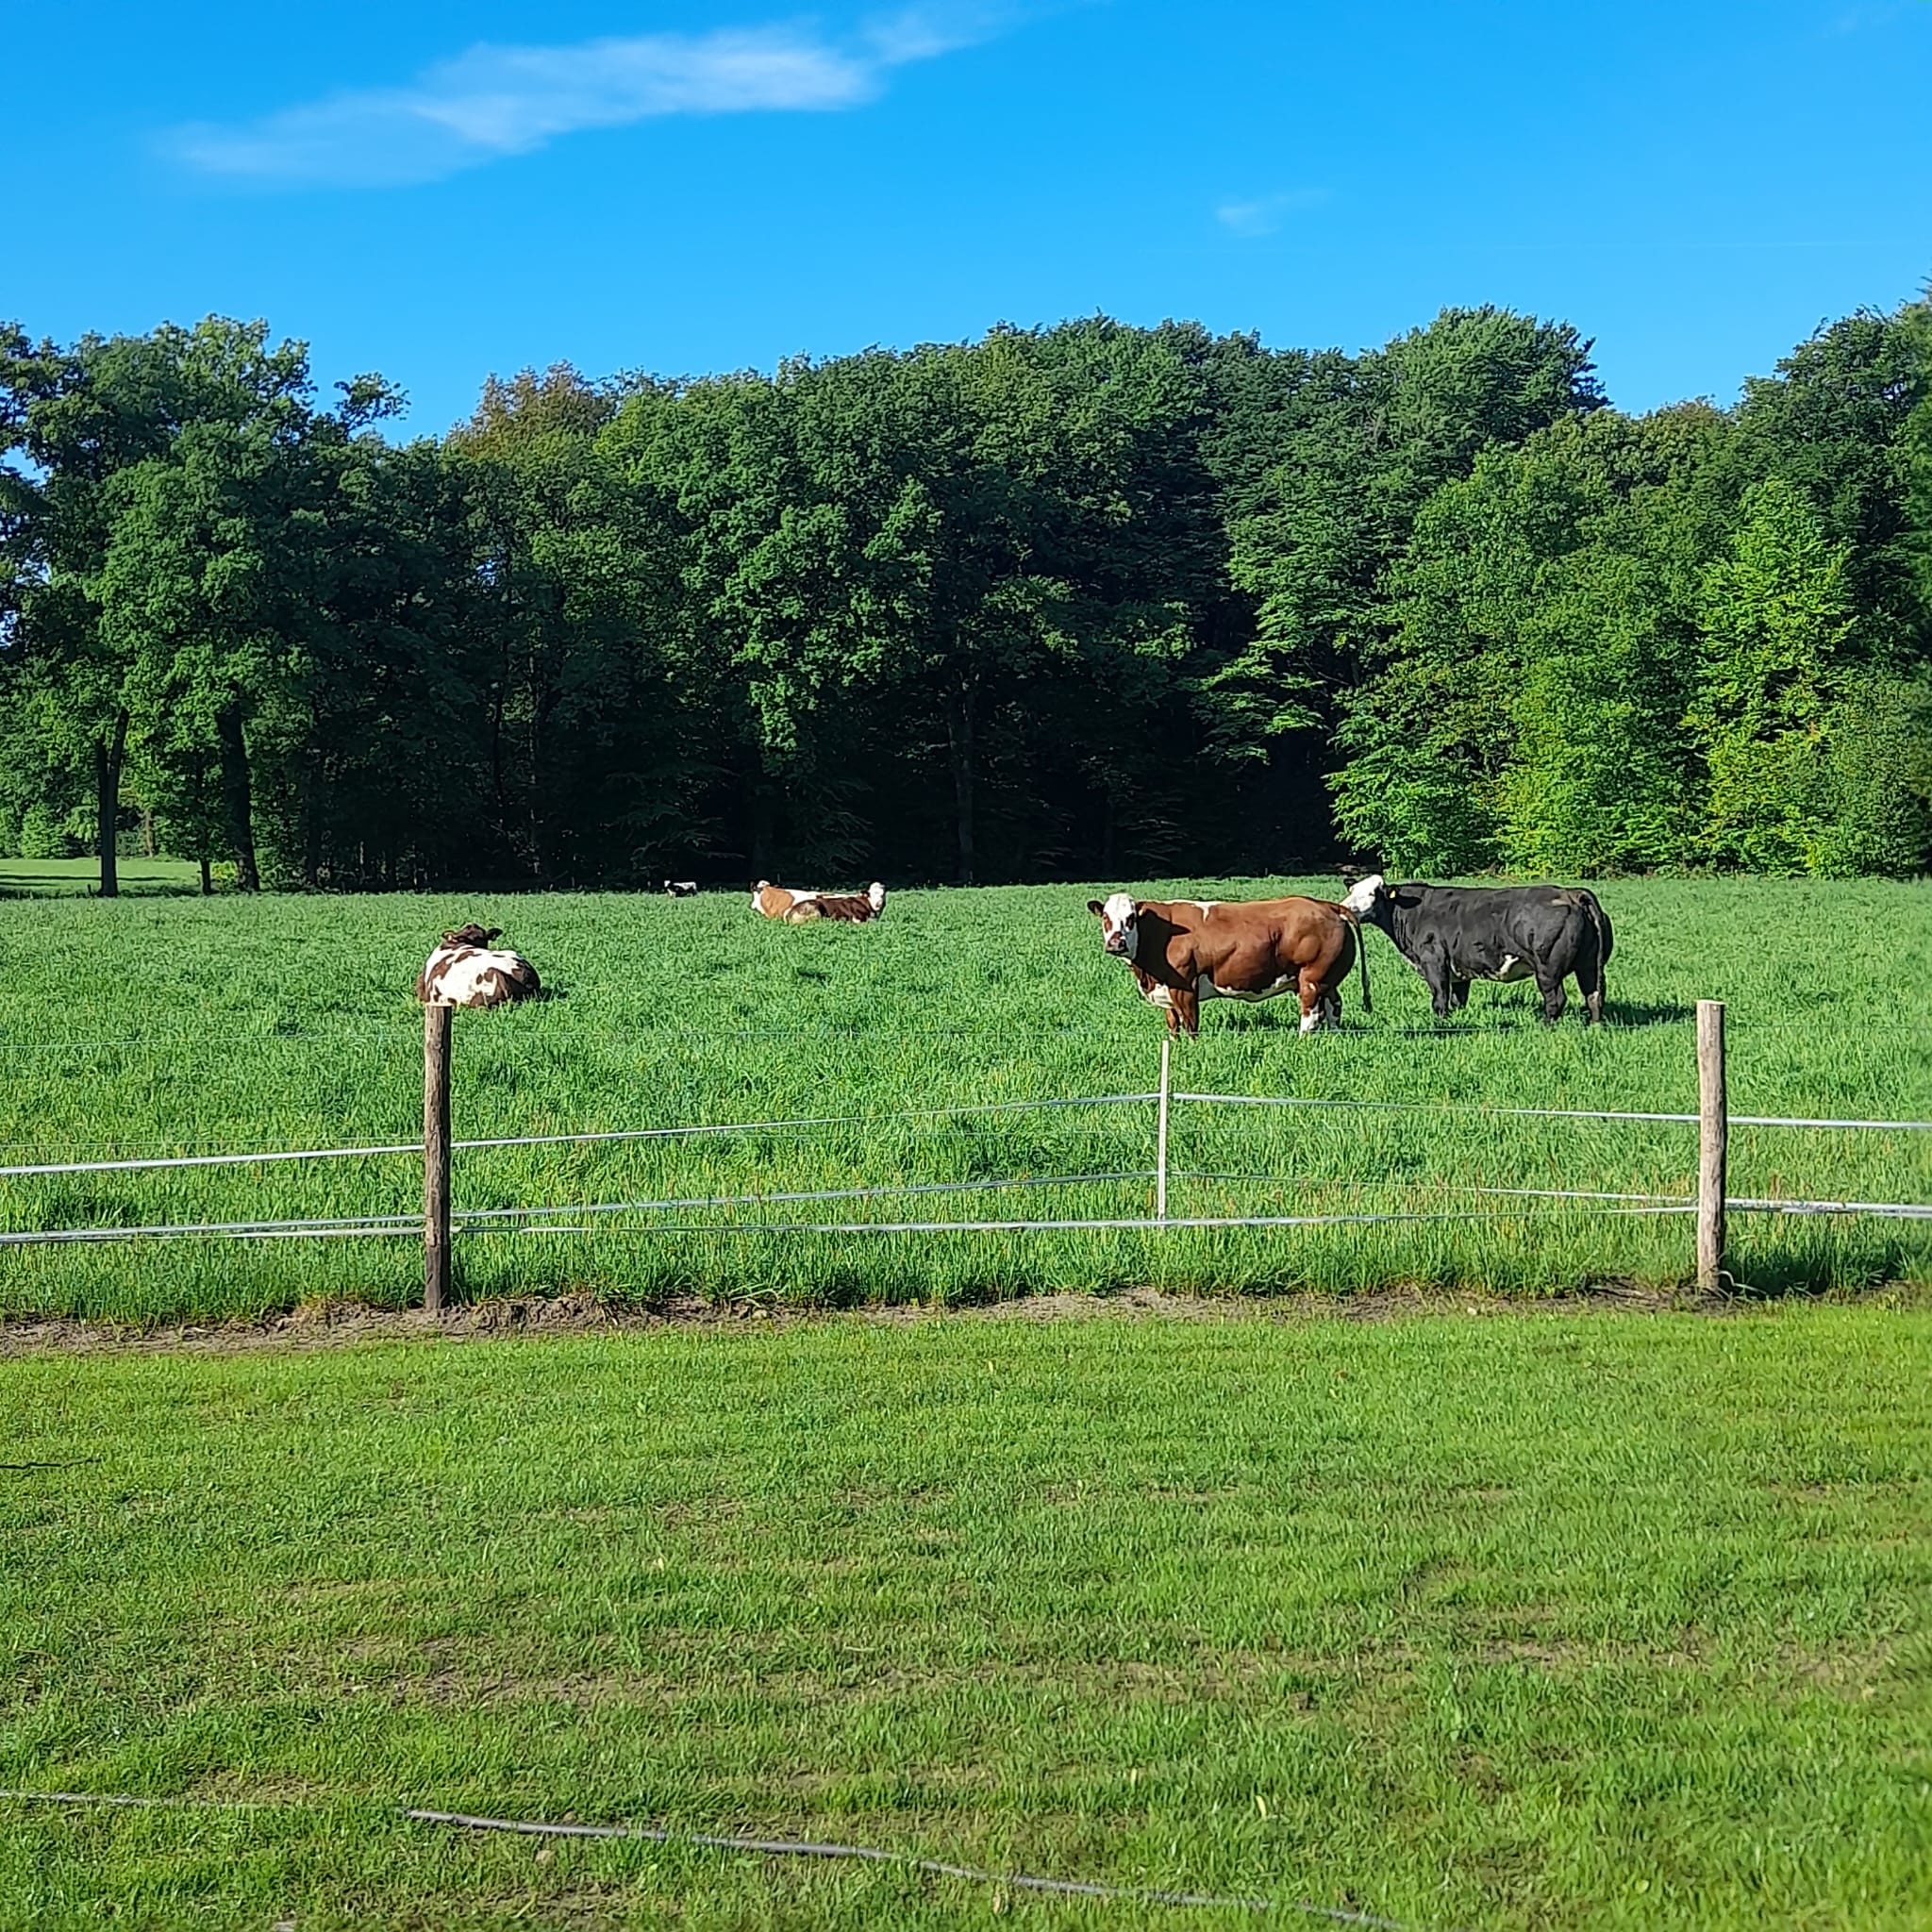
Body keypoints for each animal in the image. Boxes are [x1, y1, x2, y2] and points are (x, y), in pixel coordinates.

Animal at [1087, 892, 1370, 1038]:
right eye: (1105, 917)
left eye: (1130, 918)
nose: (1116, 943)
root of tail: (1326, 906)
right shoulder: (1165, 991)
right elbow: (1173, 1025)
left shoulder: (1185, 988)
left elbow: (1190, 1025)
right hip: (1326, 979)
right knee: (1333, 1006)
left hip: (1311, 977)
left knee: (1310, 1014)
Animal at [1340, 873, 1611, 1025]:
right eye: (1352, 890)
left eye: (1373, 893)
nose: (1345, 907)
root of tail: (1572, 893)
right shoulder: (1459, 969)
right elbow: (1458, 1000)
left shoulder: (1434, 962)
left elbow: (1440, 999)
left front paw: (1441, 1024)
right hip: (1589, 966)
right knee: (1594, 996)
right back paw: (1595, 1028)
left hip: (1548, 969)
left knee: (1556, 999)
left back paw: (1545, 1025)